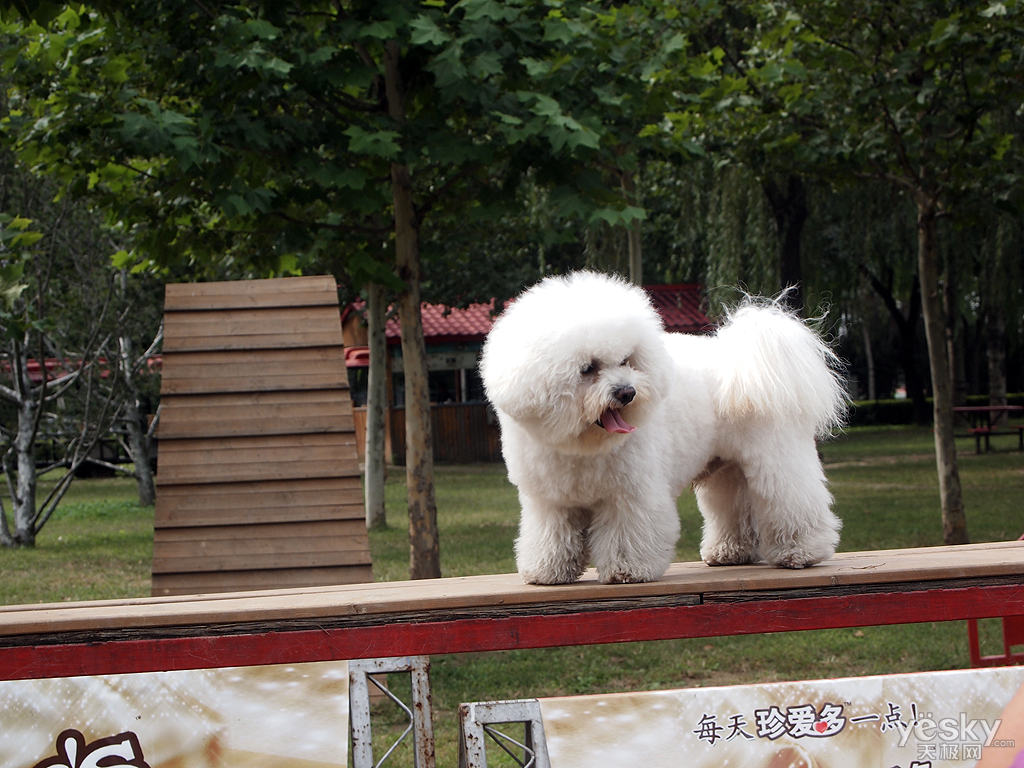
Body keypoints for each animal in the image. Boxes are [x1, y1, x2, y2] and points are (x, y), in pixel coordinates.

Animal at [479, 274, 847, 585]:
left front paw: (627, 570)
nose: (626, 392)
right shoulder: (551, 502)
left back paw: (801, 552)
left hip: (776, 459)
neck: (584, 444)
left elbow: (627, 534)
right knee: (732, 508)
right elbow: (551, 537)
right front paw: (548, 572)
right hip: (727, 470)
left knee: (793, 500)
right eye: (588, 368)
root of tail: (741, 360)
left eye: (626, 360)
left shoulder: (632, 494)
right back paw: (729, 552)